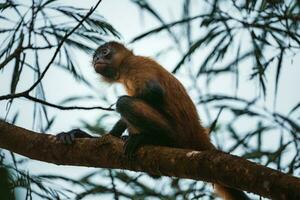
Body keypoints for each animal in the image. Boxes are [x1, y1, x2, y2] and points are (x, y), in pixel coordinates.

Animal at [56, 41, 248, 199]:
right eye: (95, 56)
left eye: (104, 52)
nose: (97, 58)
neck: (124, 66)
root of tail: (197, 131)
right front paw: (81, 135)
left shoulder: (135, 65)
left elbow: (153, 92)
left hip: (177, 133)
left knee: (124, 102)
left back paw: (155, 139)